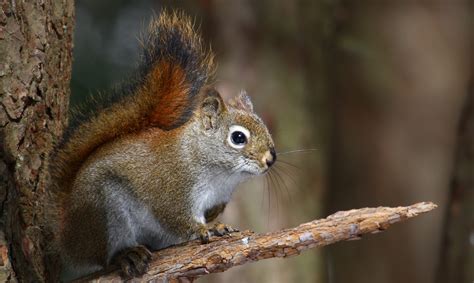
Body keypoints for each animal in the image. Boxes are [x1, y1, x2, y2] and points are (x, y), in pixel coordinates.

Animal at [48, 10, 276, 282]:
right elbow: (176, 218)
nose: (270, 159)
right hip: (104, 213)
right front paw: (209, 228)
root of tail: (67, 236)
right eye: (238, 138)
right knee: (104, 256)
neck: (220, 174)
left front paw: (215, 219)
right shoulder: (171, 188)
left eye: (264, 126)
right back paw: (126, 255)